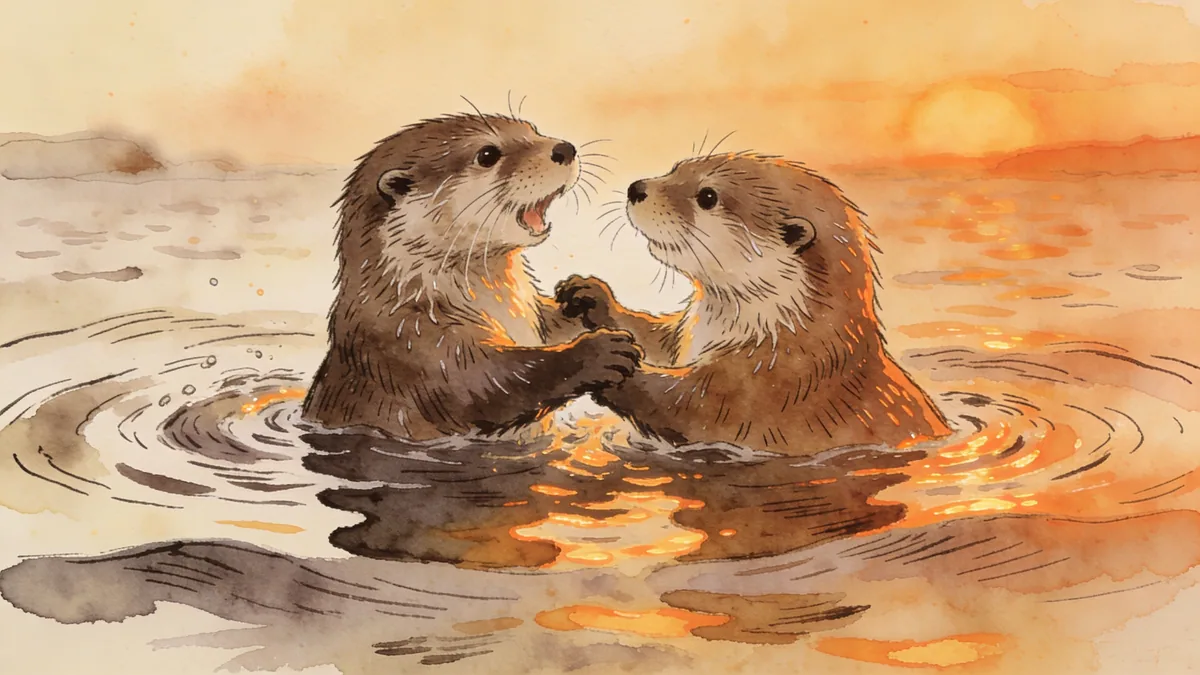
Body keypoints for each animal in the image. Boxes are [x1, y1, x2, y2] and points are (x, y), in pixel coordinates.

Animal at [302, 113, 640, 440]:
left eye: (531, 130)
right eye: (487, 154)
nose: (564, 149)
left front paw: (589, 297)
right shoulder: (416, 349)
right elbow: (495, 383)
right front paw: (597, 353)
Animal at [555, 152, 950, 455]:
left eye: (707, 196)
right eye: (676, 168)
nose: (637, 188)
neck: (783, 332)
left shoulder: (764, 386)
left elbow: (679, 405)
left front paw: (608, 364)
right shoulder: (691, 335)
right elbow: (660, 339)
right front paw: (591, 296)